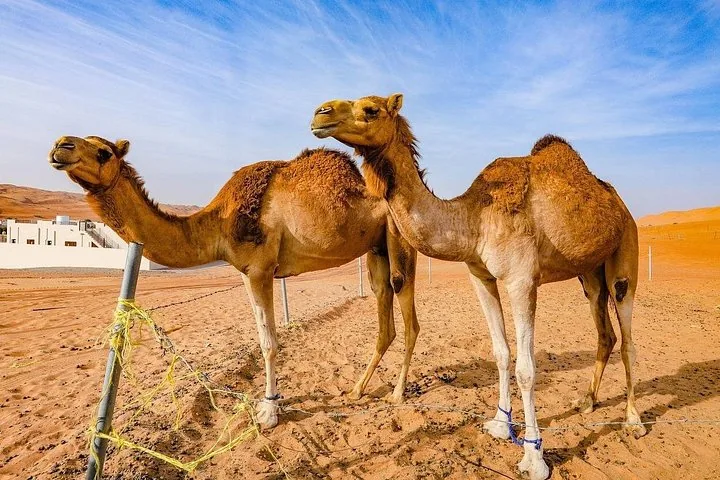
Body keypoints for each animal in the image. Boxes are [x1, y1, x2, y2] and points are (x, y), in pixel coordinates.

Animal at [49, 135, 420, 429]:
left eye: (104, 152)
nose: (60, 145)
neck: (217, 223)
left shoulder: (260, 269)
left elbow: (269, 344)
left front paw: (269, 411)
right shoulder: (245, 273)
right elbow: (262, 337)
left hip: (401, 238)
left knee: (409, 313)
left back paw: (398, 393)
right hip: (376, 249)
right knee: (385, 316)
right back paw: (357, 389)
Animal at [311, 94, 645, 480]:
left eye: (371, 110)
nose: (320, 113)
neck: (473, 219)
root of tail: (619, 204)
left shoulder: (521, 280)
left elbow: (526, 369)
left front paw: (534, 457)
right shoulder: (480, 277)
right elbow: (500, 353)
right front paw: (500, 425)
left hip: (625, 253)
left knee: (628, 338)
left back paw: (633, 420)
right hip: (589, 273)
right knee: (605, 333)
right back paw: (587, 401)